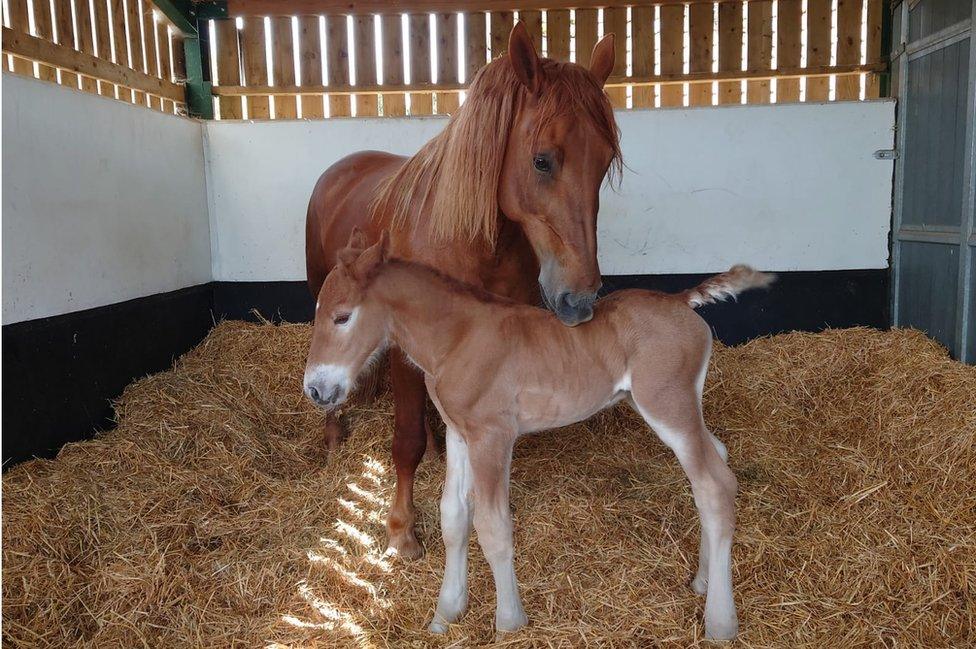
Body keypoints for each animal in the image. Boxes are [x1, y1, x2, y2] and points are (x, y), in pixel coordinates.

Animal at [302, 233, 772, 636]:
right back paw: (702, 581)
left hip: (667, 406)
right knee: (717, 457)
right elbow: (454, 516)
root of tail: (679, 299)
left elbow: (493, 526)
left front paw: (509, 622)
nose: (316, 390)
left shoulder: (493, 437)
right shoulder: (459, 433)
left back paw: (720, 622)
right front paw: (446, 614)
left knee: (714, 485)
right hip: (675, 405)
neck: (457, 339)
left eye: (342, 317)